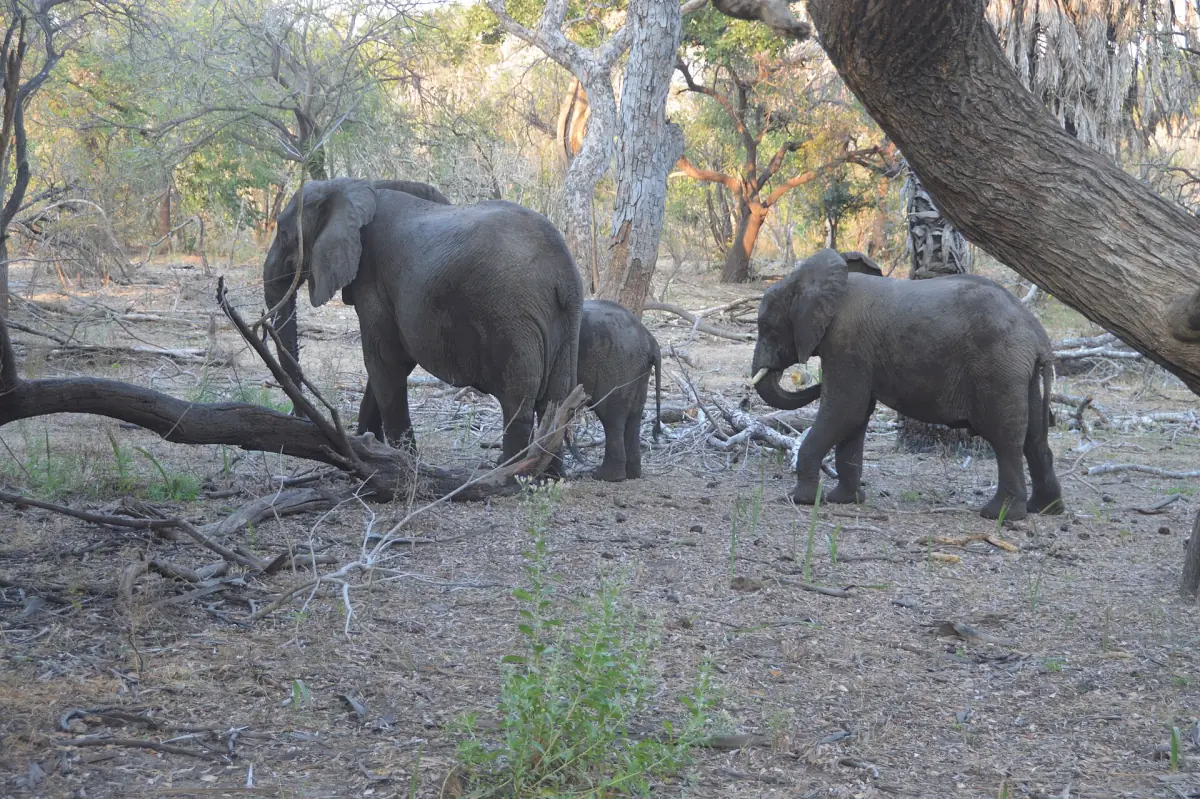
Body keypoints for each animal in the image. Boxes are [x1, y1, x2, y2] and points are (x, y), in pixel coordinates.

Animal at [262, 177, 584, 468]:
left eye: (284, 234)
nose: (298, 417)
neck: (352, 186)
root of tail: (564, 273)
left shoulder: (372, 278)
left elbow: (383, 360)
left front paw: (401, 463)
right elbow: (391, 364)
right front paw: (364, 448)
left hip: (512, 318)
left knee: (518, 402)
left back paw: (509, 475)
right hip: (564, 324)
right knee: (555, 400)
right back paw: (547, 474)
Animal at [358, 298, 663, 482]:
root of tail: (651, 340)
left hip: (618, 363)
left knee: (612, 418)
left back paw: (604, 476)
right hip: (633, 368)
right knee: (632, 418)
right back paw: (630, 474)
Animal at [749, 248, 1064, 521]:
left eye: (766, 326)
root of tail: (1038, 336)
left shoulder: (847, 345)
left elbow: (845, 410)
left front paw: (800, 499)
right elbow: (857, 416)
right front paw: (844, 500)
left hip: (998, 367)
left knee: (1005, 437)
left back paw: (1000, 515)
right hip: (1021, 372)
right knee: (1035, 437)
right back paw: (1045, 509)